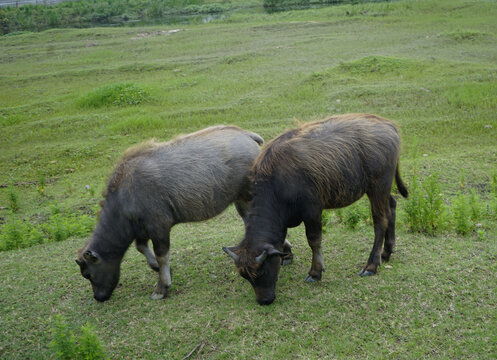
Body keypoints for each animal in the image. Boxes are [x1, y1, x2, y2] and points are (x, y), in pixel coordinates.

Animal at [224, 112, 406, 304]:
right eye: (245, 276)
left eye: (262, 271)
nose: (264, 301)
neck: (277, 182)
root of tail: (388, 125)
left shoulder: (312, 211)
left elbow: (314, 240)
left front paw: (315, 272)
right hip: (383, 190)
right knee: (392, 207)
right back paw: (386, 252)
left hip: (378, 187)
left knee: (381, 221)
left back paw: (371, 265)